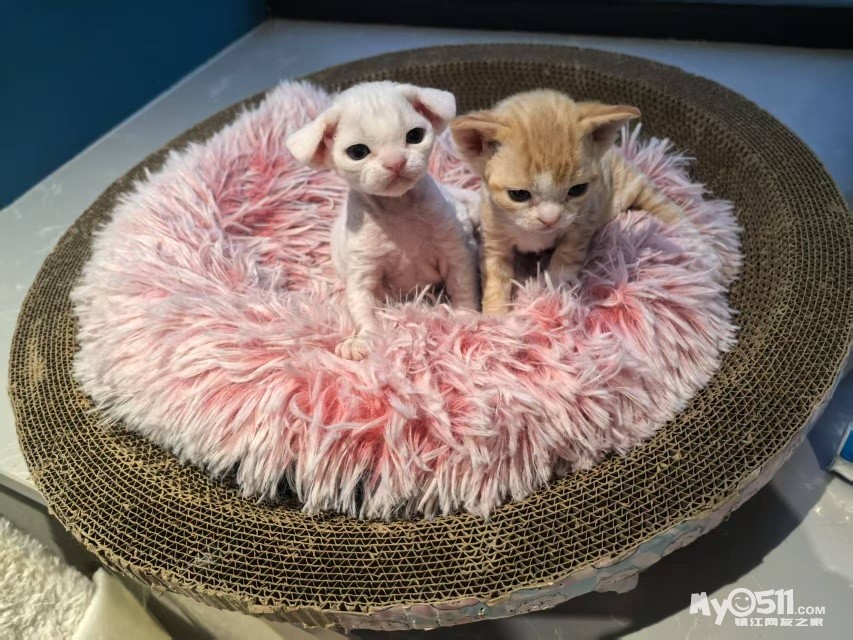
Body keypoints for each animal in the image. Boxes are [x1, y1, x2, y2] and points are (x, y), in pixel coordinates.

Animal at [287, 81, 479, 360]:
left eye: (414, 136)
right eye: (357, 152)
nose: (395, 162)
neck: (397, 208)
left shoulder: (453, 251)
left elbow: (462, 284)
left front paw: (464, 317)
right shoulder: (362, 270)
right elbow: (363, 307)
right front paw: (365, 339)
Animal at [451, 89, 684, 315]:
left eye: (578, 189)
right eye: (518, 195)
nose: (550, 219)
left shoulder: (583, 221)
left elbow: (567, 254)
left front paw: (556, 290)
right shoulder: (493, 238)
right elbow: (495, 277)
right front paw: (495, 317)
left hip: (629, 185)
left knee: (658, 200)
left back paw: (687, 233)